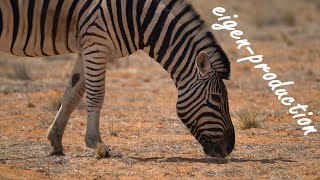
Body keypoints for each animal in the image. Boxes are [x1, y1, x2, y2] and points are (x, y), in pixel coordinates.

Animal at [0, 0, 235, 158]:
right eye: (216, 98)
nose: (230, 147)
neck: (139, 17)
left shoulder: (86, 47)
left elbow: (73, 93)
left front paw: (56, 140)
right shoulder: (96, 44)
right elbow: (96, 95)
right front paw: (96, 143)